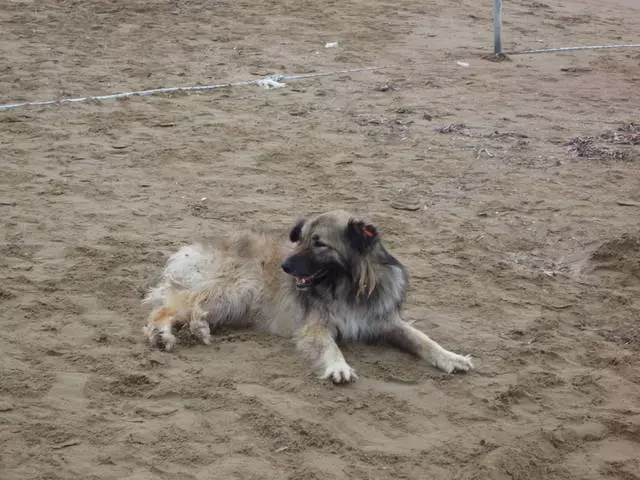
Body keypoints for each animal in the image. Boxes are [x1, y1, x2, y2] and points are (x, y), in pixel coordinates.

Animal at [145, 210, 476, 382]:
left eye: (319, 244)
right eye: (301, 239)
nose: (284, 266)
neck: (348, 288)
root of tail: (190, 249)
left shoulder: (385, 321)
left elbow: (423, 339)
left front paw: (451, 357)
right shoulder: (315, 326)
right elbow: (330, 346)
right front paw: (338, 367)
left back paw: (198, 328)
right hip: (238, 288)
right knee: (169, 309)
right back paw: (166, 334)